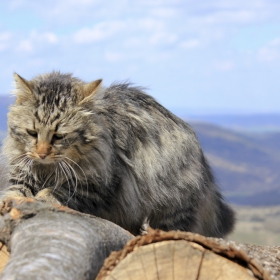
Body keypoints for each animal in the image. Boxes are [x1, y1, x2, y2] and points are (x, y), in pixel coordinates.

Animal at [1, 71, 235, 236]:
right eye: (32, 133)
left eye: (59, 136)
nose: (41, 153)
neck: (47, 169)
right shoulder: (23, 171)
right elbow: (15, 190)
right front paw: (10, 201)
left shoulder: (101, 185)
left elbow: (60, 191)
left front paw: (43, 196)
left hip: (172, 204)